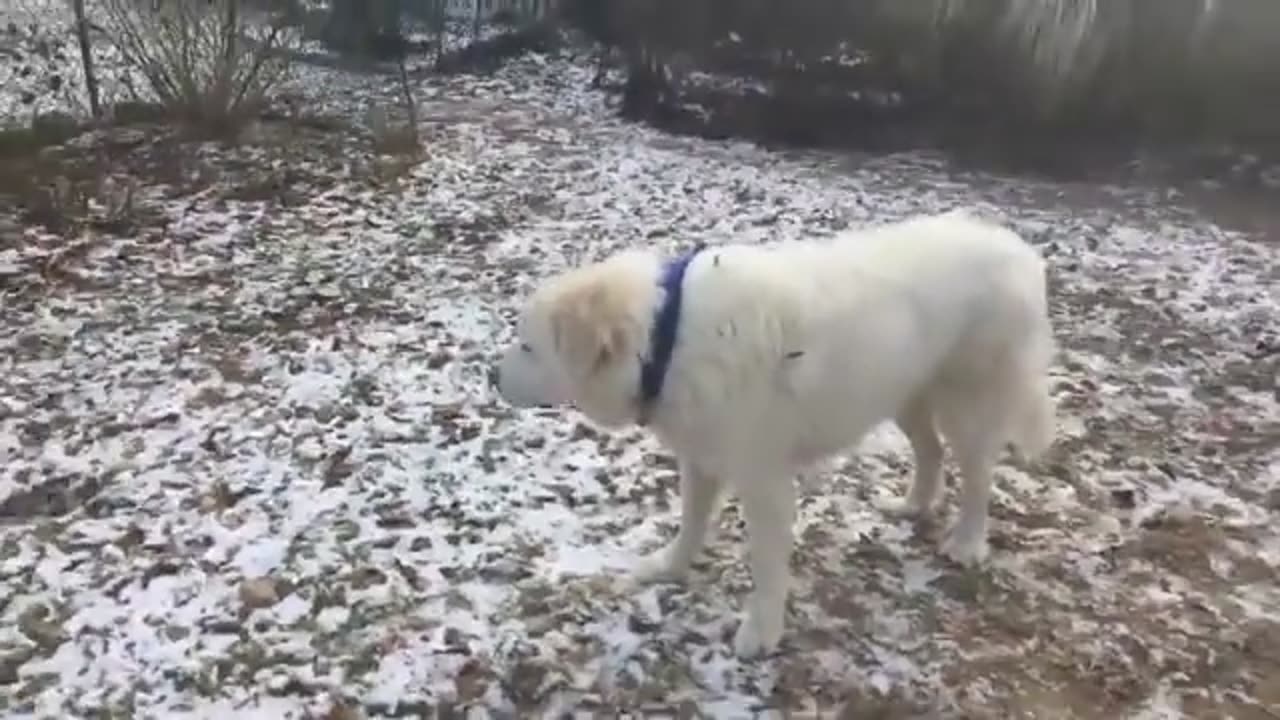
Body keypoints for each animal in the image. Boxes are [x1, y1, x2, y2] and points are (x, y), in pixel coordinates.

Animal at [494, 208, 1054, 655]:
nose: (489, 377)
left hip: (969, 407)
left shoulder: (763, 483)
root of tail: (1018, 248)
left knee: (978, 477)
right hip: (902, 394)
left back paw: (967, 543)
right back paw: (912, 505)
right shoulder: (701, 456)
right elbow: (690, 523)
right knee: (930, 452)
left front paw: (759, 634)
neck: (667, 340)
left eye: (527, 347)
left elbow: (764, 567)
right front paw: (670, 567)